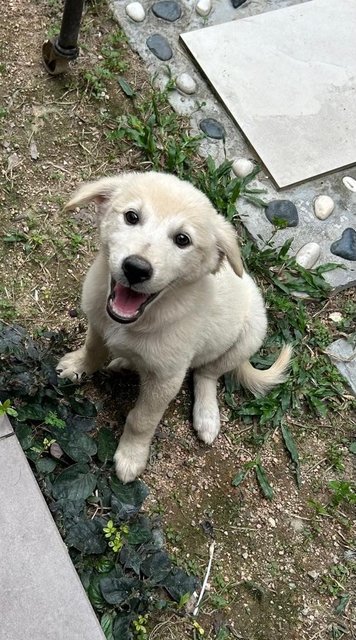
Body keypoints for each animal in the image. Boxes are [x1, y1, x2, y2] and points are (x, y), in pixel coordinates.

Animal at [57, 172, 292, 482]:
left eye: (182, 240)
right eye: (131, 217)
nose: (136, 268)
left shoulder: (167, 379)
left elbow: (142, 419)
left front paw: (131, 456)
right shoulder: (97, 321)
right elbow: (93, 349)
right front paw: (78, 365)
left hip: (248, 337)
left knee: (207, 373)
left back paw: (207, 415)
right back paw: (124, 362)